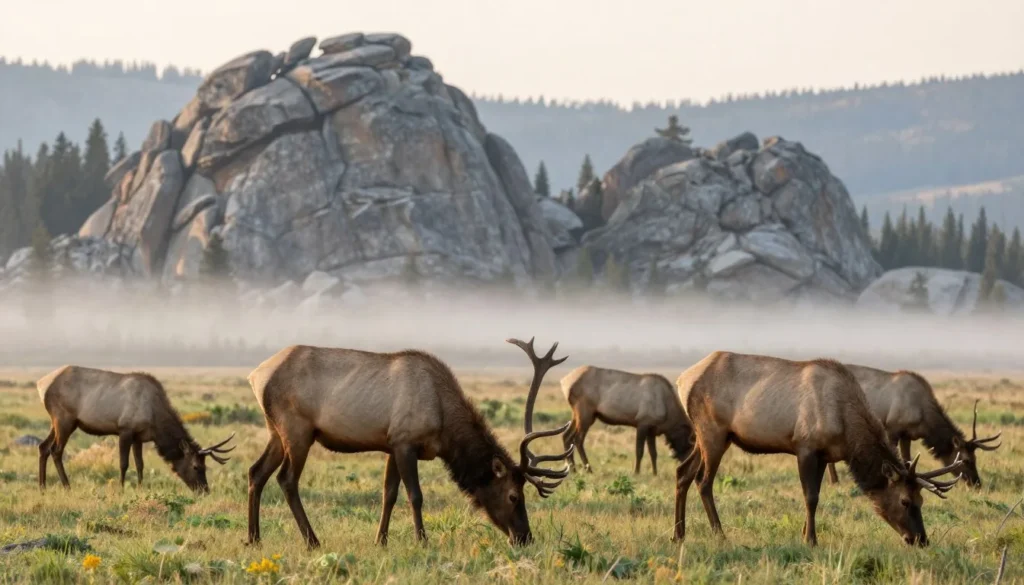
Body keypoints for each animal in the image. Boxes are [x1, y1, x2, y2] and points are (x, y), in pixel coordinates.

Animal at [35, 366, 235, 492]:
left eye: (205, 466)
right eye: (196, 466)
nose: (205, 490)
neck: (155, 420)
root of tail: (41, 384)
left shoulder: (138, 437)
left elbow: (140, 464)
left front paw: (140, 487)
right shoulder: (125, 430)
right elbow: (124, 463)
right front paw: (121, 488)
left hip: (58, 422)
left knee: (43, 446)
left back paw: (42, 486)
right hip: (64, 419)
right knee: (56, 450)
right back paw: (66, 486)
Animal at [245, 338, 574, 550]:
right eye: (513, 496)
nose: (525, 538)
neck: (444, 423)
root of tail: (255, 375)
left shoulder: (392, 444)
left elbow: (389, 494)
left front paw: (381, 540)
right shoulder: (405, 442)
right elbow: (415, 495)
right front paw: (422, 540)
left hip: (275, 431)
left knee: (256, 472)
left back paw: (253, 538)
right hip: (297, 430)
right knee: (286, 479)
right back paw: (312, 540)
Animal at [559, 366, 693, 476]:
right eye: (690, 446)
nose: (685, 466)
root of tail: (565, 382)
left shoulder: (652, 429)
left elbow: (653, 453)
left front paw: (655, 473)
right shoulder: (642, 423)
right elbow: (639, 451)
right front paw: (636, 472)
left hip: (581, 414)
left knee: (566, 435)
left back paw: (573, 469)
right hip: (585, 413)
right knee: (578, 439)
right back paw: (588, 469)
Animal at [673, 351, 964, 547]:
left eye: (921, 500)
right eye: (905, 500)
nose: (920, 539)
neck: (846, 430)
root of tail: (681, 380)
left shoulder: (825, 455)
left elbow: (818, 495)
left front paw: (805, 533)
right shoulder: (805, 446)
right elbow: (810, 496)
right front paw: (811, 540)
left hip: (710, 437)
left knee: (682, 472)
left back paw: (679, 534)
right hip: (713, 432)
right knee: (703, 481)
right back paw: (719, 533)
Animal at [825, 365, 1001, 487]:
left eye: (975, 458)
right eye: (965, 460)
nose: (976, 483)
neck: (923, 418)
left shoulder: (907, 435)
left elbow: (907, 459)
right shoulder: (891, 429)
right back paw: (834, 481)